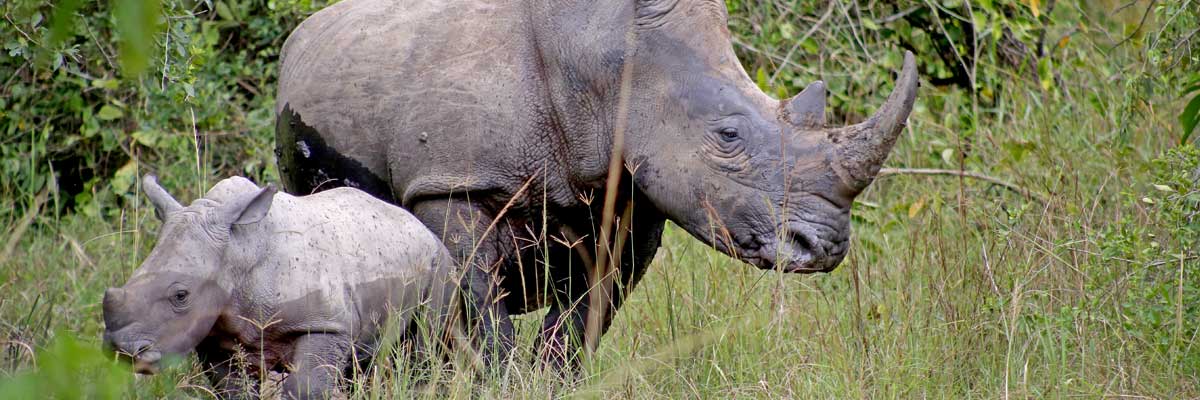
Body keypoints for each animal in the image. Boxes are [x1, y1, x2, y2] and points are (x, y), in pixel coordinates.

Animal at [103, 176, 456, 396]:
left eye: (181, 295)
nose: (122, 350)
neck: (240, 251)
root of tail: (415, 222)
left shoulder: (324, 323)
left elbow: (306, 387)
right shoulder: (214, 332)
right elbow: (233, 388)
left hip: (439, 262)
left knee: (429, 340)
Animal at [278, 0, 916, 367]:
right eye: (728, 136)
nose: (824, 246)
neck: (614, 60)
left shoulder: (637, 197)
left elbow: (581, 324)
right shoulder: (452, 184)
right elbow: (482, 317)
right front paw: (500, 380)